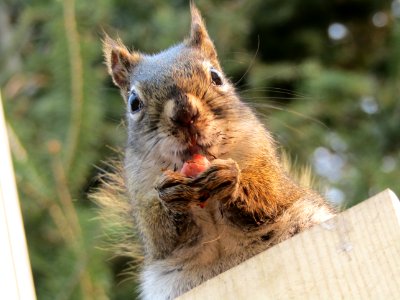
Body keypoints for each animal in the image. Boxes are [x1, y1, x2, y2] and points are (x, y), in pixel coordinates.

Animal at [97, 2, 334, 300]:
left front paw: (231, 180)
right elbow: (159, 235)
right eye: (134, 102)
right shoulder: (141, 191)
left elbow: (269, 194)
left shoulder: (264, 161)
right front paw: (171, 195)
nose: (184, 114)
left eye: (216, 77)